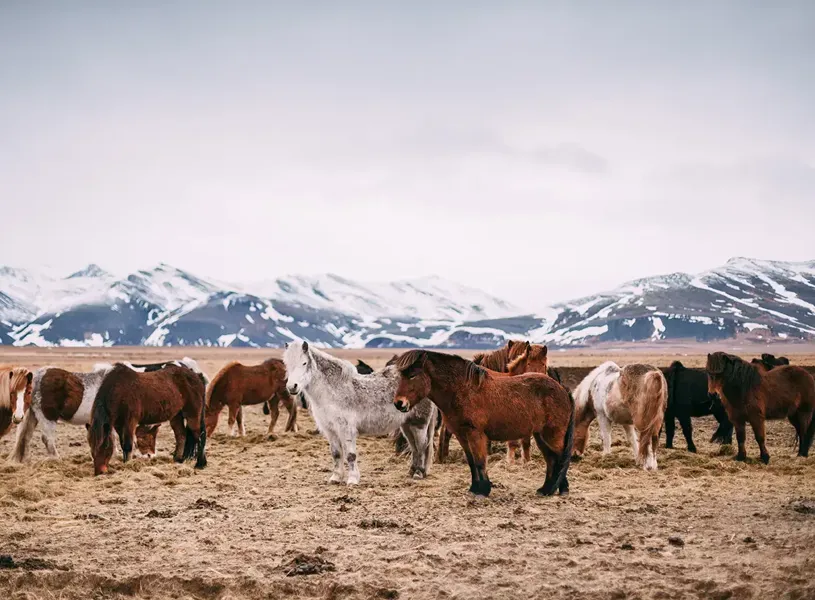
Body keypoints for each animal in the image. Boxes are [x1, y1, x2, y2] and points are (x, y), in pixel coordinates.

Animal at [283, 341, 437, 484]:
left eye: (304, 363)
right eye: (287, 364)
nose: (292, 387)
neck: (333, 391)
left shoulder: (346, 428)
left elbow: (350, 455)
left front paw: (352, 479)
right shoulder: (330, 430)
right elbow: (336, 453)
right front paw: (335, 478)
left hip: (419, 424)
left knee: (421, 446)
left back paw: (419, 473)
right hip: (407, 425)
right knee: (414, 447)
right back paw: (412, 471)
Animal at [393, 350, 574, 497]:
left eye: (413, 375)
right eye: (401, 376)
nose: (399, 403)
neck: (463, 389)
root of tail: (563, 390)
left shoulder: (475, 434)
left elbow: (479, 461)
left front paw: (483, 490)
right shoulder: (462, 435)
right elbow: (472, 462)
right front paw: (475, 488)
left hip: (553, 435)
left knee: (560, 458)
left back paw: (561, 489)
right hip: (541, 435)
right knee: (551, 459)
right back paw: (546, 489)